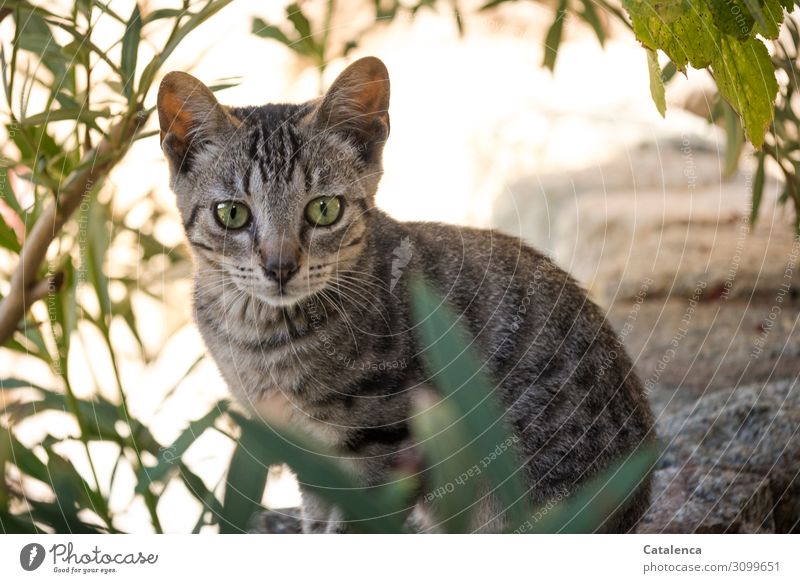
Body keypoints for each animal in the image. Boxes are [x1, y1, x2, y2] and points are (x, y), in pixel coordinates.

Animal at [158, 56, 656, 532]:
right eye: (232, 213)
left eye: (324, 209)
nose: (279, 266)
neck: (260, 338)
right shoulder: (305, 451)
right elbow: (318, 520)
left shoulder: (385, 441)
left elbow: (355, 529)